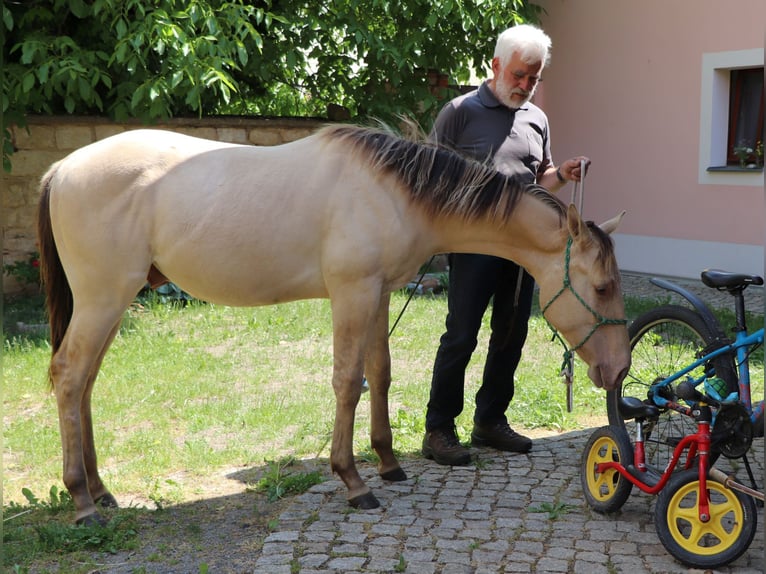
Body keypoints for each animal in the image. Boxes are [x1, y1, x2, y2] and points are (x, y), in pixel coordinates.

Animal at [36, 125, 632, 528]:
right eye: (603, 287)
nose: (620, 368)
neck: (391, 191)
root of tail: (60, 170)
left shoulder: (379, 294)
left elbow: (380, 374)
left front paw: (388, 463)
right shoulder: (352, 294)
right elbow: (349, 382)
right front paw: (352, 480)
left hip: (111, 305)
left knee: (84, 385)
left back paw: (101, 489)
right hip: (103, 300)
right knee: (68, 377)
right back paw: (82, 500)